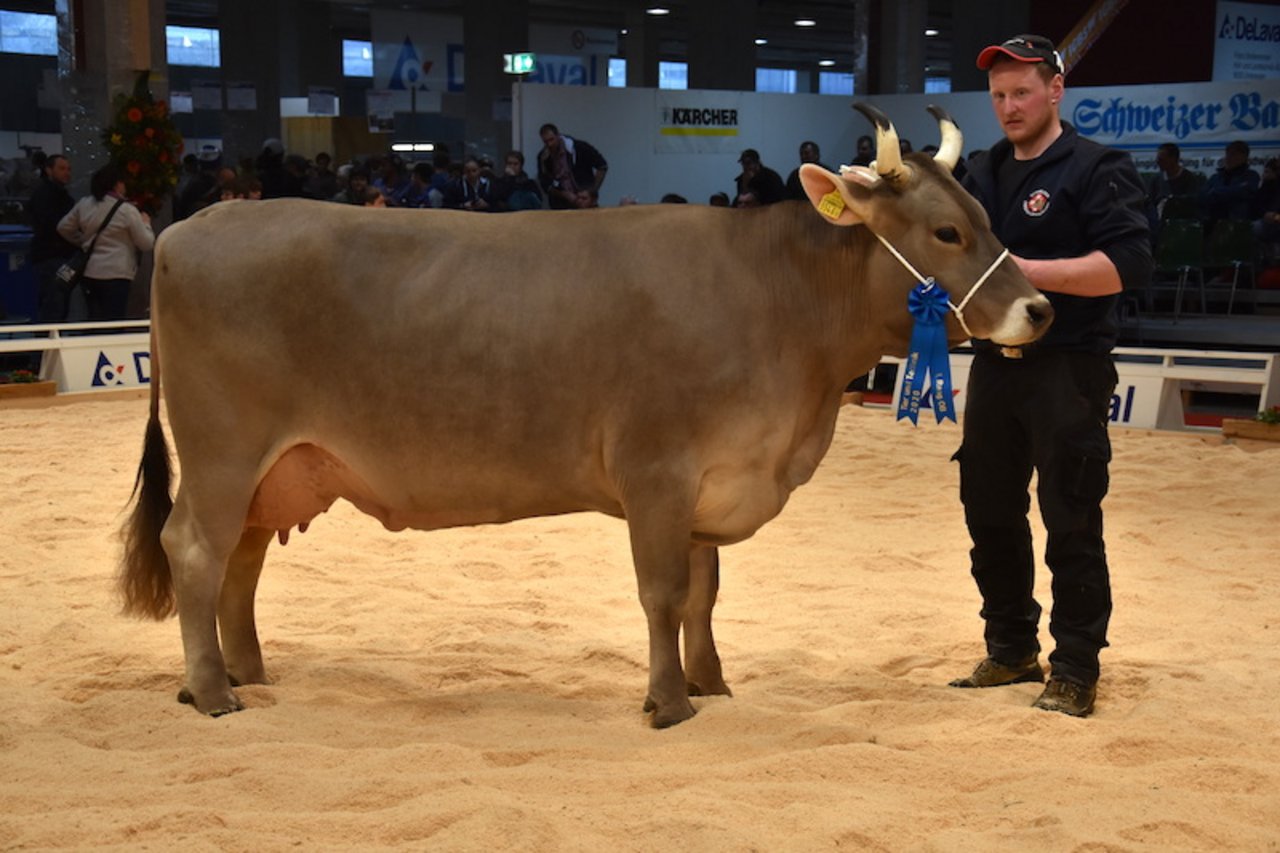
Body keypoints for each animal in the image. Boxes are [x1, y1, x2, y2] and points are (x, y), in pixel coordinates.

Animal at [124, 104, 1054, 722]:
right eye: (944, 232)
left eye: (983, 216)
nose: (1040, 309)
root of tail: (194, 224)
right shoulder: (657, 470)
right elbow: (663, 592)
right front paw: (669, 702)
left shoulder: (709, 484)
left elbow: (705, 593)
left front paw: (712, 681)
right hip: (223, 453)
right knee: (194, 548)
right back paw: (211, 690)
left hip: (273, 467)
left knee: (240, 561)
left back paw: (248, 671)